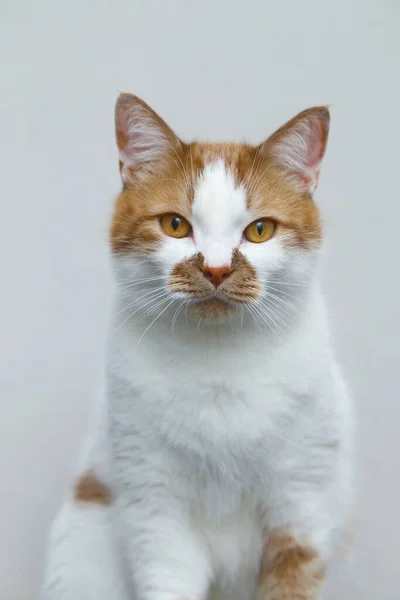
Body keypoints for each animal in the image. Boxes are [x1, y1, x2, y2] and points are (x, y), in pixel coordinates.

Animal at [41, 94, 354, 600]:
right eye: (175, 225)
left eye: (260, 230)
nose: (217, 268)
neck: (219, 363)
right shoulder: (156, 513)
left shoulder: (302, 510)